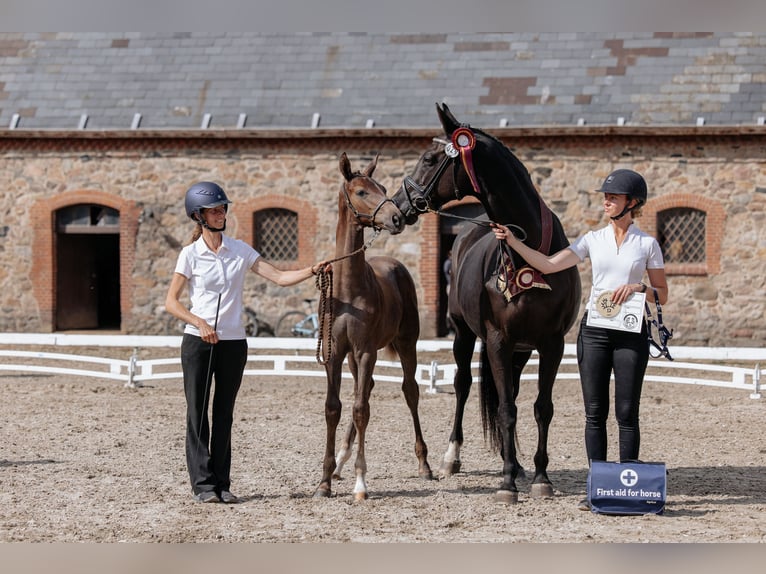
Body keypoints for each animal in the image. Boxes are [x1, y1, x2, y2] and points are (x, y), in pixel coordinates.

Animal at [312, 155, 432, 502]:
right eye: (361, 191)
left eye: (383, 188)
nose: (397, 218)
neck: (348, 291)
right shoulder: (336, 352)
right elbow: (335, 408)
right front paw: (324, 480)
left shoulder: (366, 351)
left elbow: (361, 410)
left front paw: (361, 484)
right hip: (356, 358)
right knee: (363, 391)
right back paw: (340, 464)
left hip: (405, 343)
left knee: (409, 391)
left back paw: (425, 464)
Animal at [396, 103, 584, 504]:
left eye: (429, 158)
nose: (400, 205)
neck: (531, 252)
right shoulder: (498, 339)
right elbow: (506, 409)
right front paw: (507, 483)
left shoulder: (551, 344)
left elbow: (540, 407)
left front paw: (539, 476)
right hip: (465, 335)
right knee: (465, 385)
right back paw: (453, 458)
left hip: (521, 350)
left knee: (506, 393)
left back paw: (514, 462)